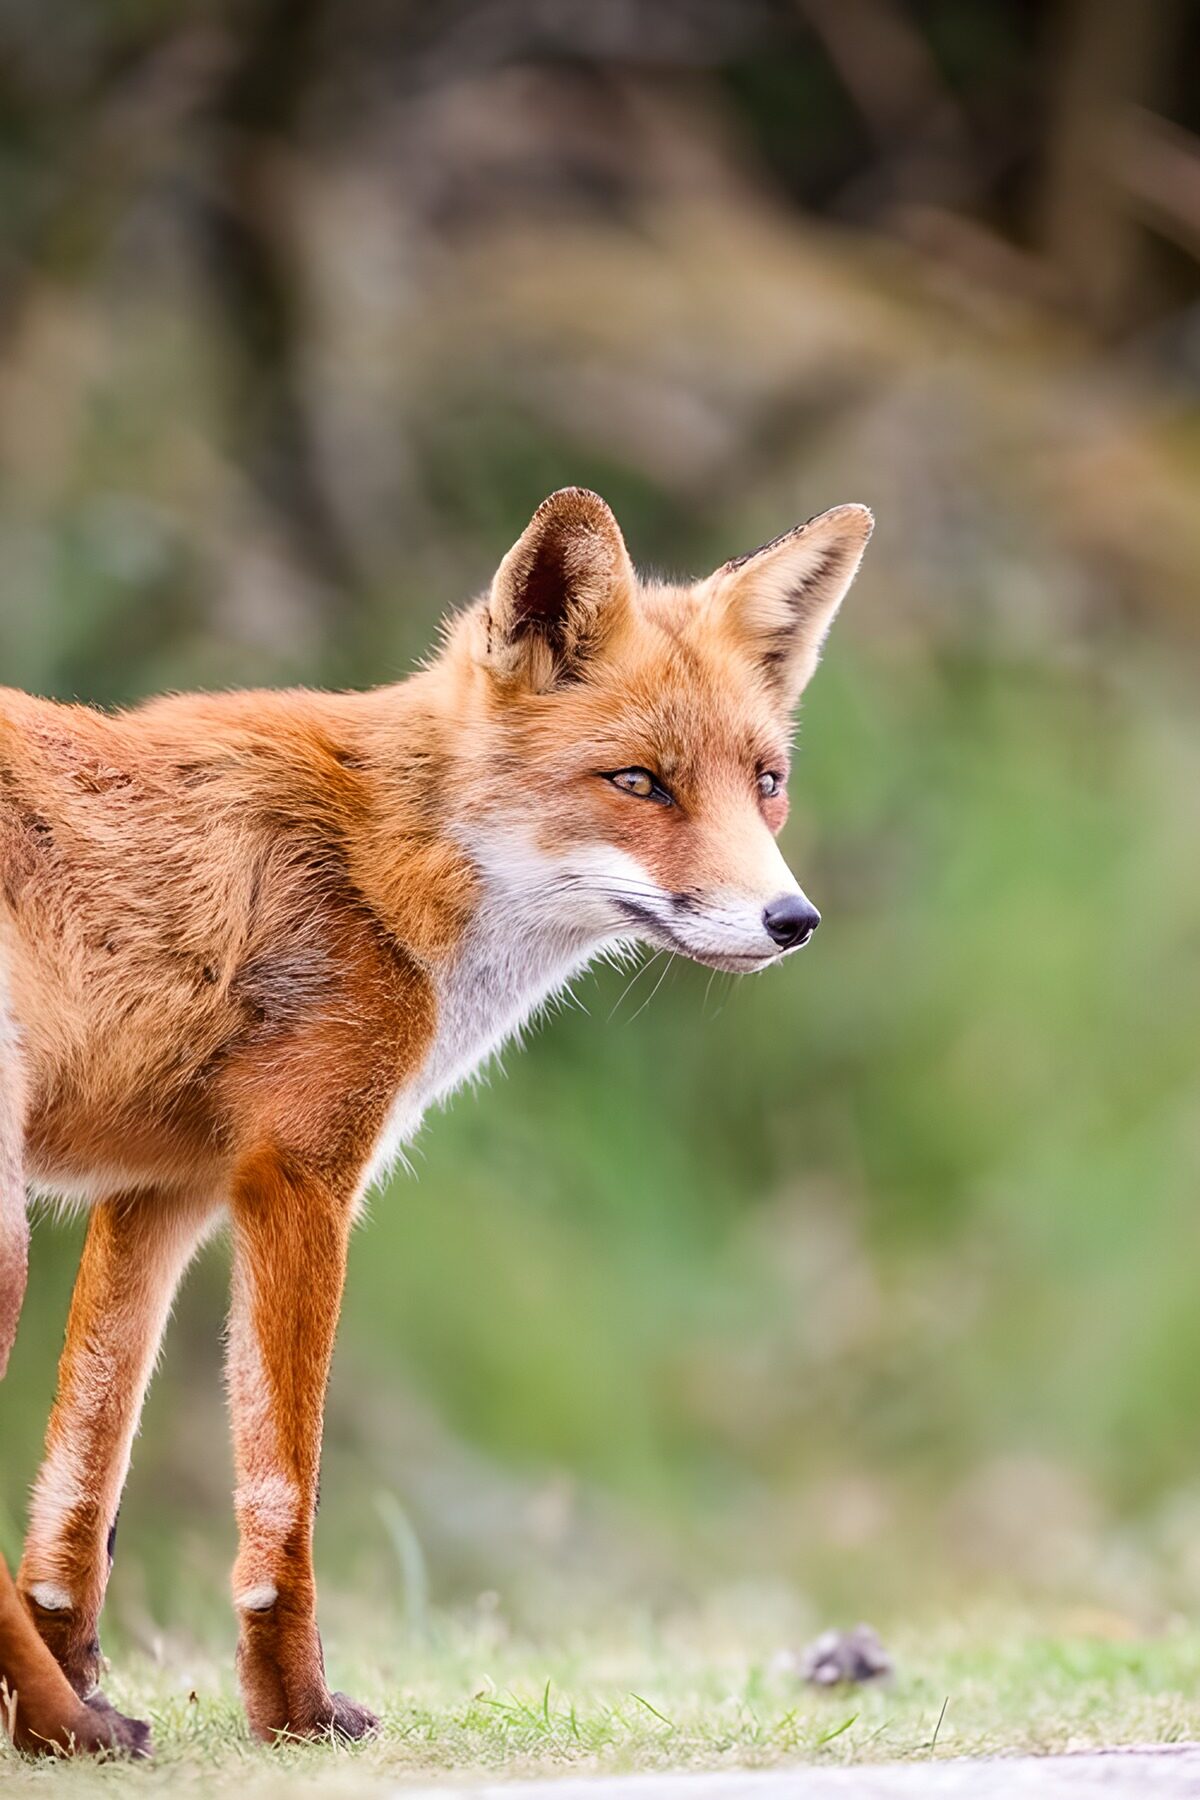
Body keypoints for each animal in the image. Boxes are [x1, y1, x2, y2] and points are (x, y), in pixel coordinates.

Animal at [0, 487, 872, 1754]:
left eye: (765, 780)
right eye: (640, 783)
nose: (791, 919)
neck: (384, 865)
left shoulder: (161, 1193)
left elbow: (81, 1485)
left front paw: (74, 1692)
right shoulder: (300, 1174)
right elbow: (283, 1496)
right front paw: (290, 1713)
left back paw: (65, 1721)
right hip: (9, 1234)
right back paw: (70, 1726)